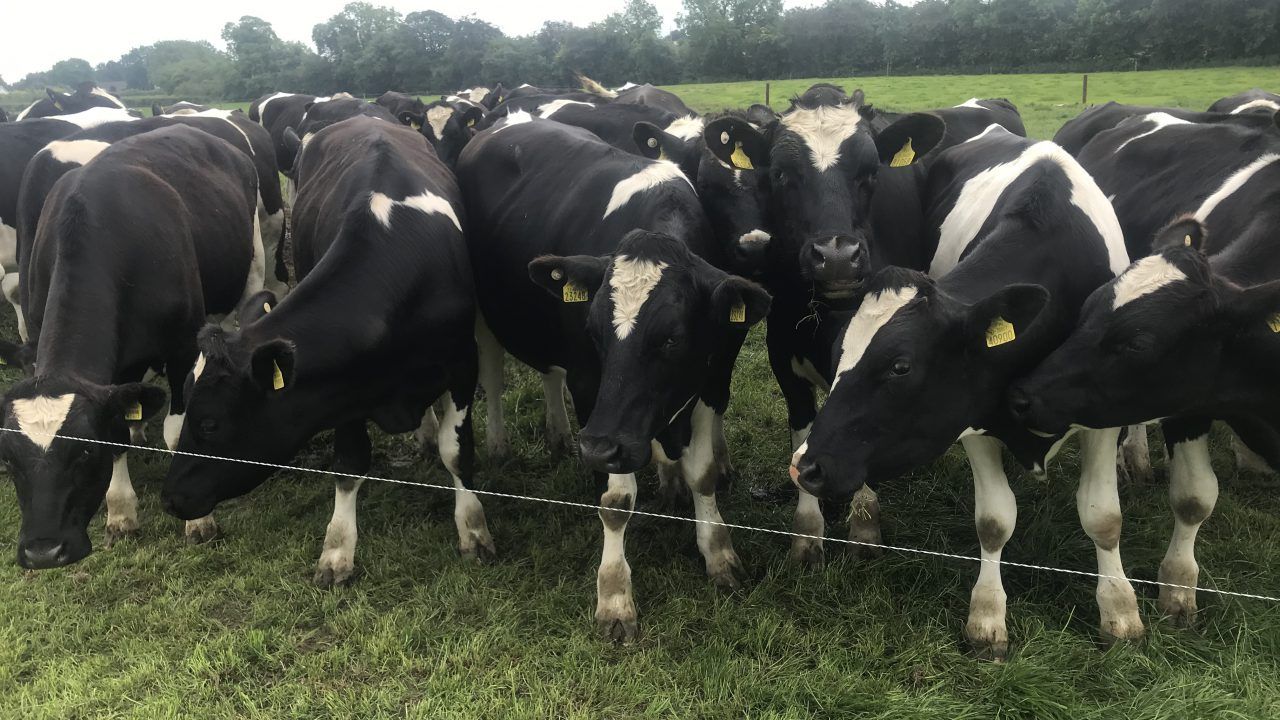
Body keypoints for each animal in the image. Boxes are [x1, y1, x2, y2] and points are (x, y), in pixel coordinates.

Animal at [160, 115, 494, 586]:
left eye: (209, 423)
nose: (170, 499)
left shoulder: (464, 363)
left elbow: (457, 451)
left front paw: (474, 529)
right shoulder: (344, 390)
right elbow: (350, 463)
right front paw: (337, 550)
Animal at [457, 114, 771, 641]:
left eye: (671, 339)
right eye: (595, 330)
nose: (595, 446)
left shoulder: (711, 378)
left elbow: (704, 473)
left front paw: (719, 553)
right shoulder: (594, 390)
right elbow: (617, 498)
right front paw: (614, 596)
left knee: (549, 373)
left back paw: (561, 437)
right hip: (486, 311)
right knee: (494, 373)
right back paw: (502, 444)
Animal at [788, 125, 1137, 659]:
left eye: (901, 366)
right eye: (839, 353)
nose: (804, 466)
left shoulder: (1101, 417)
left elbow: (1103, 517)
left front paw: (1120, 610)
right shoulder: (969, 415)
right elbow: (993, 520)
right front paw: (988, 617)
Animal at [1008, 117, 1280, 627]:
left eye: (1138, 343)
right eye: (1086, 310)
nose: (1022, 395)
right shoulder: (1188, 404)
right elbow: (1194, 496)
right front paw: (1177, 590)